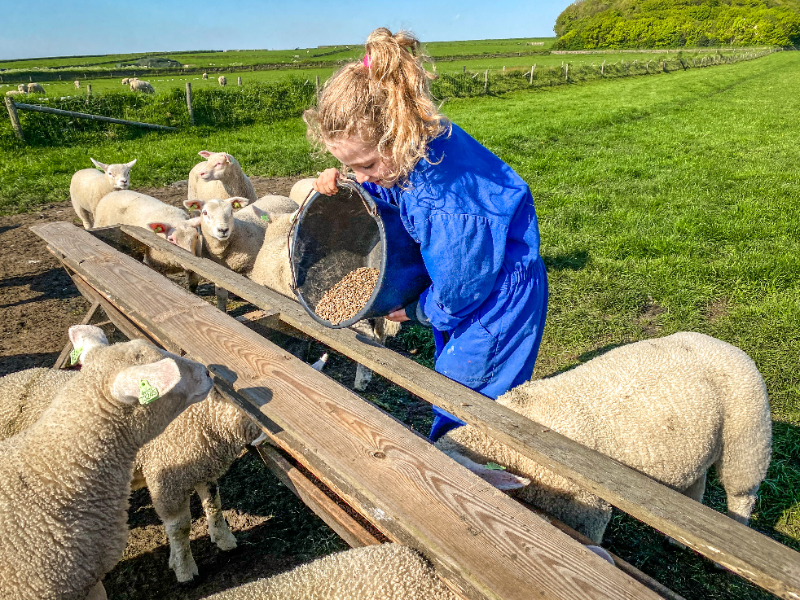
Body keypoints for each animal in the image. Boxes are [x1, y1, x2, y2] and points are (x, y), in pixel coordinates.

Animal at [434, 332, 772, 544]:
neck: (506, 434)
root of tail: (726, 345)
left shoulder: (584, 510)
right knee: (696, 482)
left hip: (749, 437)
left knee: (742, 494)